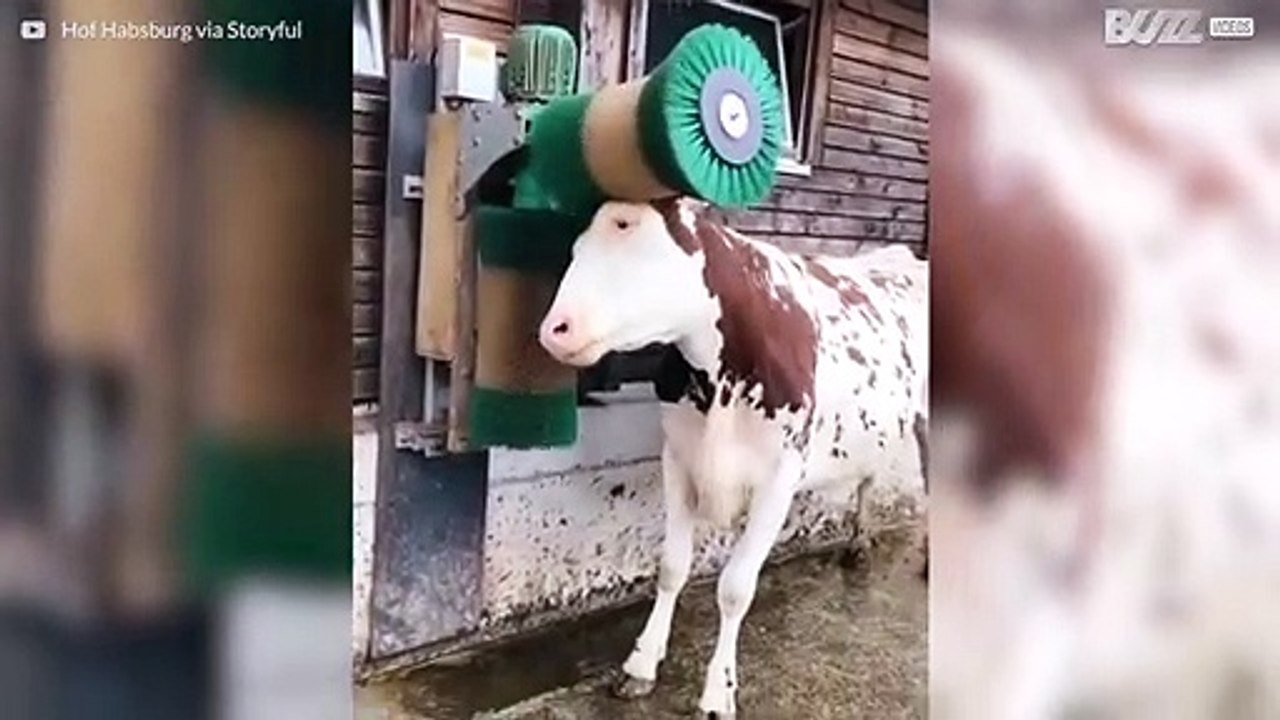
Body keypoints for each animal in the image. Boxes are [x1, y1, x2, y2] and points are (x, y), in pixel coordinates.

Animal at [538, 197, 927, 718]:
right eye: (578, 248)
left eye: (636, 241)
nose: (553, 330)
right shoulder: (678, 457)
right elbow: (671, 567)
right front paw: (641, 663)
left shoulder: (779, 478)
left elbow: (736, 588)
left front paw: (718, 691)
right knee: (868, 476)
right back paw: (859, 542)